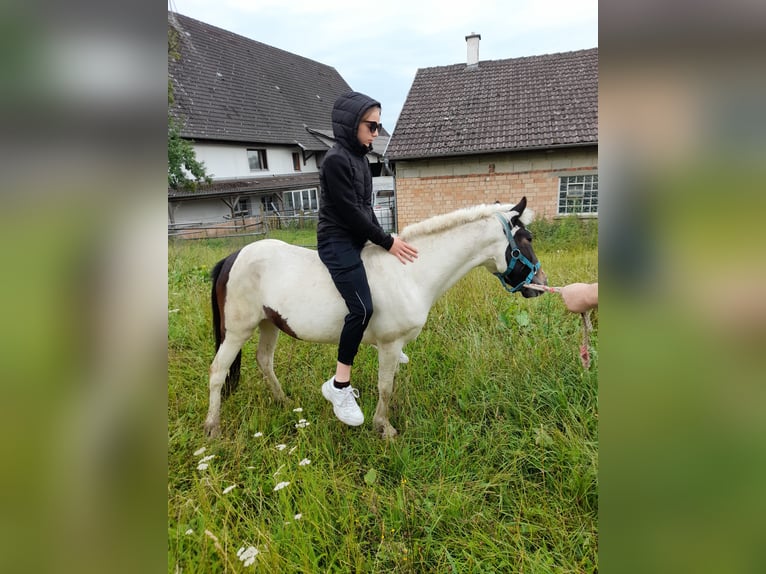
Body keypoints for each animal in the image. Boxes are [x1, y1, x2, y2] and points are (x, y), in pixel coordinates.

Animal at [204, 196, 547, 439]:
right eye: (527, 239)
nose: (540, 284)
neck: (410, 273)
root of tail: (233, 257)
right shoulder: (389, 344)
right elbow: (386, 387)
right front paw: (385, 428)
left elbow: (389, 383)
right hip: (238, 331)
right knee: (218, 371)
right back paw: (213, 428)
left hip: (268, 324)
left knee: (264, 361)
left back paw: (284, 403)